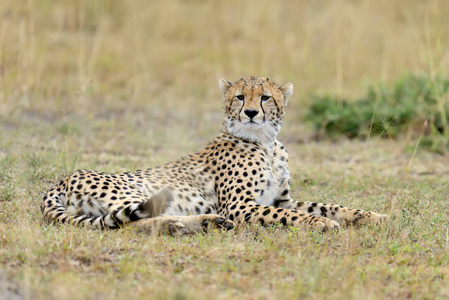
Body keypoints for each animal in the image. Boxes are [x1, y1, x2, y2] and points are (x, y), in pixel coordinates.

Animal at [40, 76, 386, 236]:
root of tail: (61, 180)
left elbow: (328, 205)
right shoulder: (241, 207)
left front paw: (371, 215)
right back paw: (200, 222)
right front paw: (320, 224)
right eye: (240, 97)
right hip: (137, 192)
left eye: (265, 97)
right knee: (134, 222)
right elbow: (294, 216)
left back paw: (204, 222)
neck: (266, 143)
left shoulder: (281, 199)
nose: (250, 113)